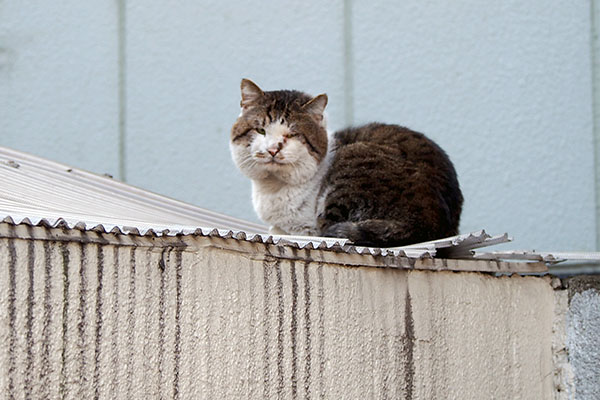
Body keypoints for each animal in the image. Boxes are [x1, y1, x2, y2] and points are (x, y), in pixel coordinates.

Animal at [230, 78, 464, 247]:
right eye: (261, 130)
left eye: (293, 134)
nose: (273, 149)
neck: (273, 187)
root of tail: (430, 223)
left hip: (353, 160)